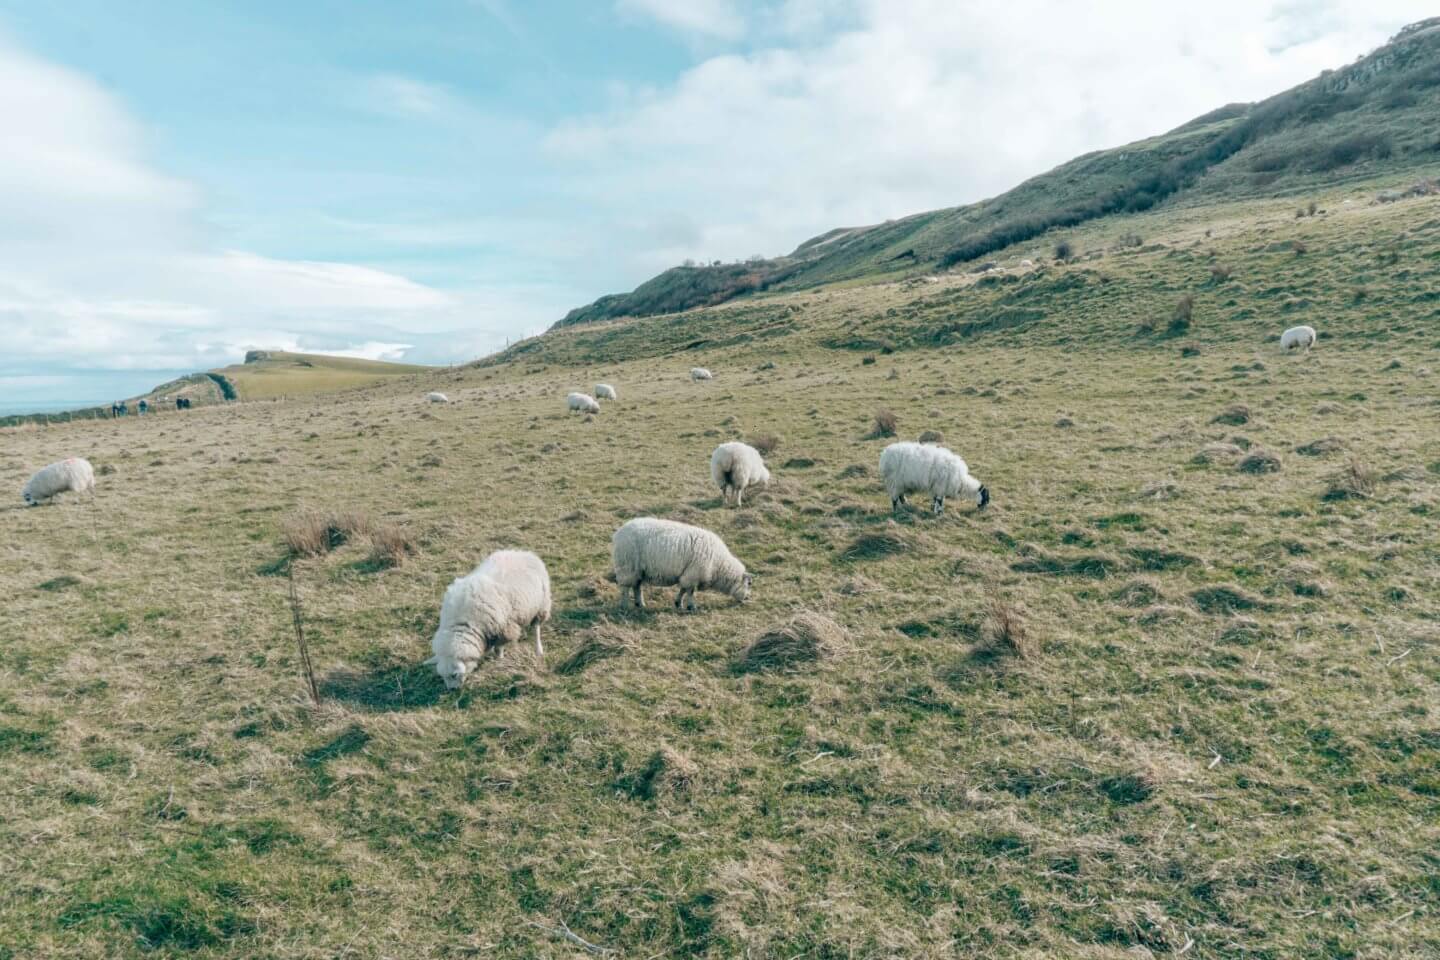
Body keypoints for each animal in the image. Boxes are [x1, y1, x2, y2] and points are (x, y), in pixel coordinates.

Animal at [423, 546, 552, 690]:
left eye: (454, 675)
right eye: (442, 675)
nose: (452, 690)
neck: (463, 620)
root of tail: (523, 552)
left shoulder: (503, 627)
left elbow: (498, 648)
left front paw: (499, 660)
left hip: (541, 605)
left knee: (536, 628)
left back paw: (538, 649)